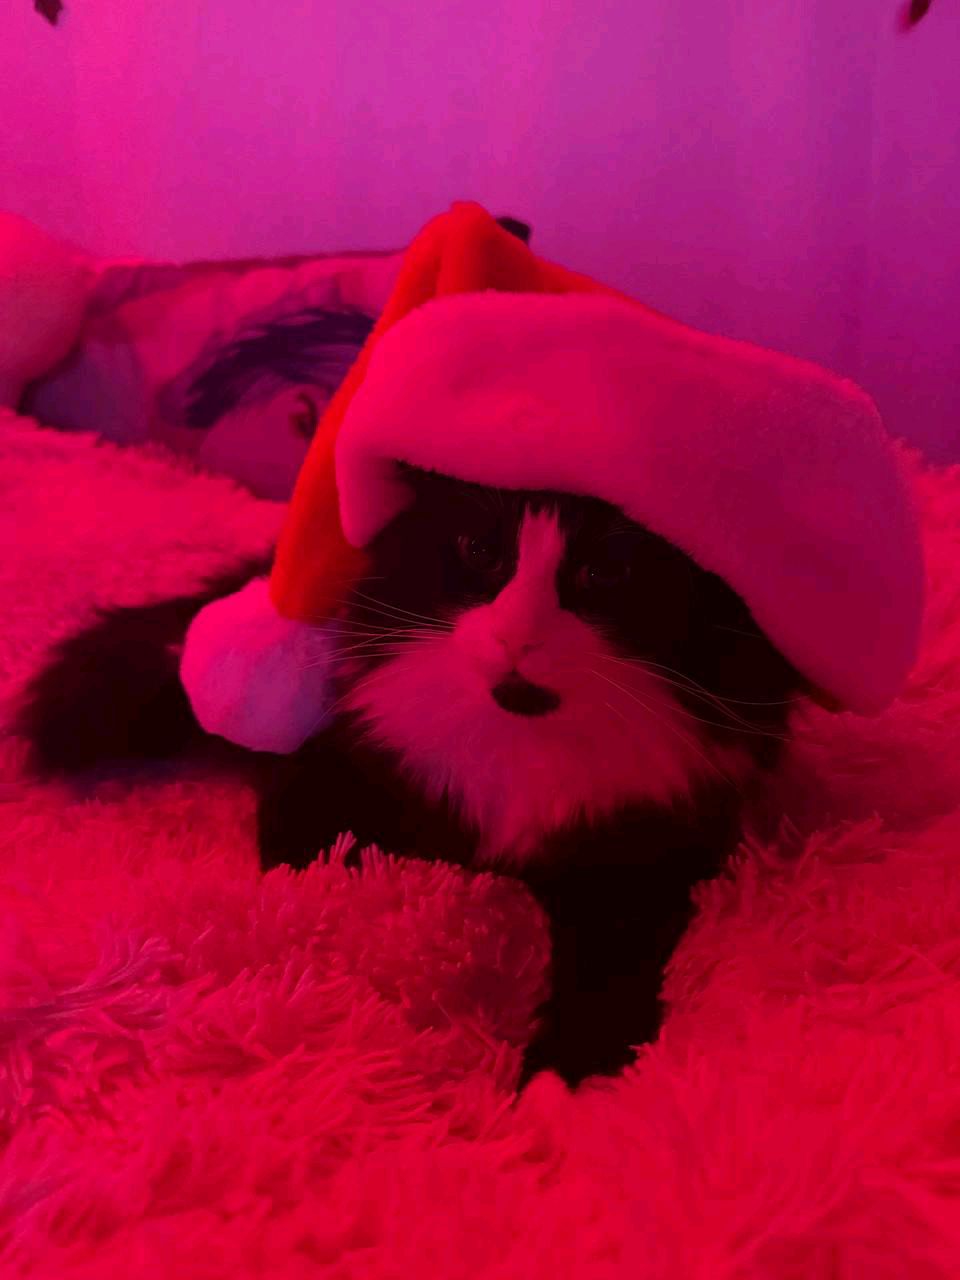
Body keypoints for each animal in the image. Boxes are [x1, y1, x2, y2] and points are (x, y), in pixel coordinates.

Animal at [17, 465, 804, 1086]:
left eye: (606, 571)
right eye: (479, 549)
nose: (517, 637)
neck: (521, 738)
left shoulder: (647, 854)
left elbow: (609, 971)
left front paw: (565, 1078)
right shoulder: (328, 777)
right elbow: (327, 875)